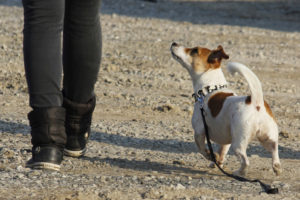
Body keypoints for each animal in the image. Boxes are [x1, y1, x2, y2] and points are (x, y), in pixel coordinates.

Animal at [171, 42, 282, 175]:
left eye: (194, 50)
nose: (174, 43)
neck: (209, 88)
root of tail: (256, 102)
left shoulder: (199, 132)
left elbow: (202, 149)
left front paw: (211, 156)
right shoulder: (225, 141)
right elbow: (221, 153)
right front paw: (216, 163)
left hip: (238, 143)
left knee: (245, 161)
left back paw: (238, 172)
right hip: (267, 138)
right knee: (275, 150)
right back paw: (276, 168)